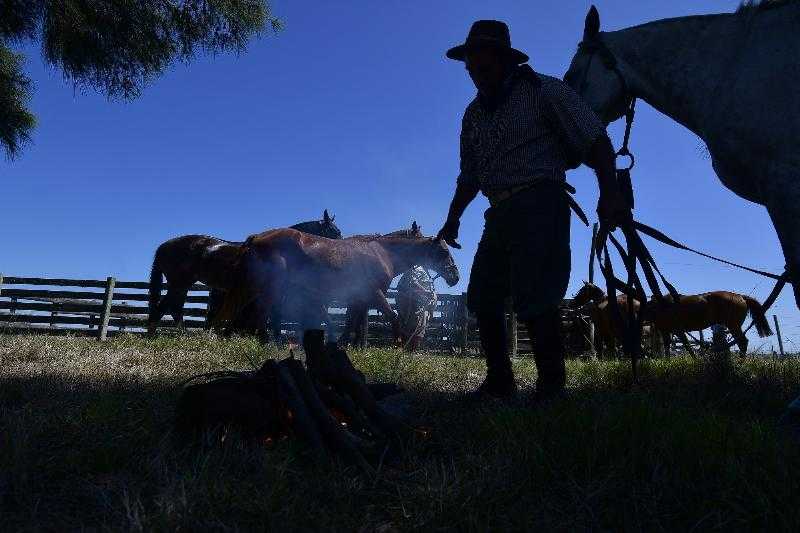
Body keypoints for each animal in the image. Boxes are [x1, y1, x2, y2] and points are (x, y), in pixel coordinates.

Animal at [214, 225, 462, 340]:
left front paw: (343, 342)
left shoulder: (360, 297)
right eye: (443, 251)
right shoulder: (375, 293)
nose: (455, 276)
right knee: (260, 311)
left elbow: (352, 321)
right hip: (269, 286)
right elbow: (391, 316)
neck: (382, 253)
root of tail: (257, 238)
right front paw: (398, 342)